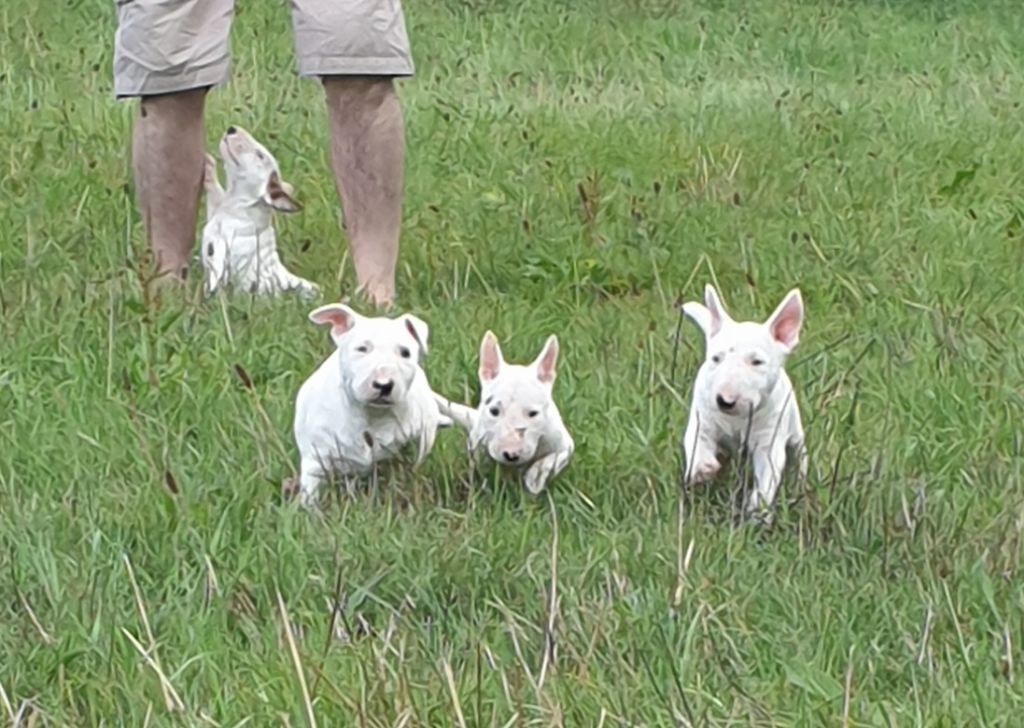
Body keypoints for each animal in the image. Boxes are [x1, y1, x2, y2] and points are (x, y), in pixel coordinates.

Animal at [203, 125, 319, 298]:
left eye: (260, 155)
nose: (232, 128)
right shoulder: (215, 212)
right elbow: (214, 193)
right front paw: (208, 166)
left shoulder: (227, 240)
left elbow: (219, 260)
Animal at [288, 301, 448, 507]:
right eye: (362, 349)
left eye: (405, 352)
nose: (384, 385)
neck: (371, 414)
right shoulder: (316, 457)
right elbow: (311, 489)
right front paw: (309, 510)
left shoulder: (413, 443)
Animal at [434, 333, 573, 495]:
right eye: (494, 411)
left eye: (533, 413)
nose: (511, 454)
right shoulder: (479, 445)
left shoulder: (564, 443)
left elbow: (554, 458)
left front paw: (535, 477)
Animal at [679, 284, 806, 524]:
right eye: (716, 358)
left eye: (757, 362)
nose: (725, 401)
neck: (736, 419)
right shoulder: (702, 419)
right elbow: (696, 443)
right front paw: (702, 467)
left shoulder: (769, 439)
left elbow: (768, 472)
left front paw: (759, 507)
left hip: (796, 436)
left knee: (799, 458)